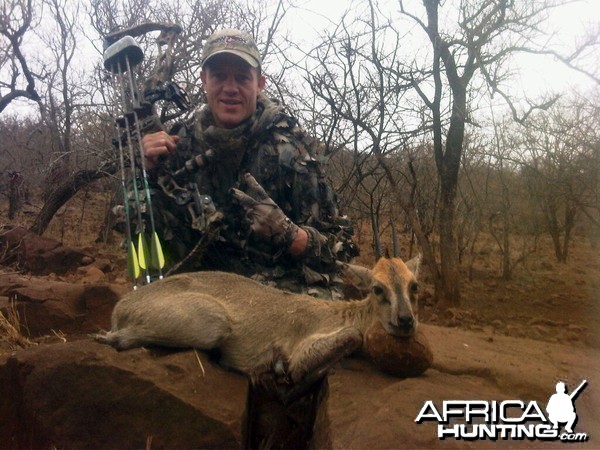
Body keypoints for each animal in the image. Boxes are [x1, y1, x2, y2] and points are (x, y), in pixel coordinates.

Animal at [97, 256, 418, 386]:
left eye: (414, 285)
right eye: (377, 288)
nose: (405, 321)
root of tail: (121, 307)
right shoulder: (303, 349)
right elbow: (351, 336)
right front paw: (278, 369)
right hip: (214, 324)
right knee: (116, 338)